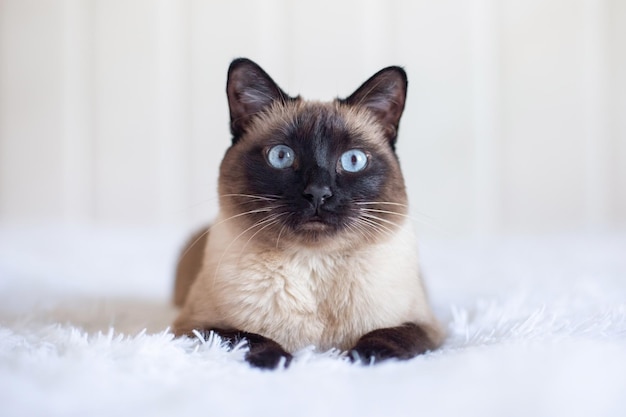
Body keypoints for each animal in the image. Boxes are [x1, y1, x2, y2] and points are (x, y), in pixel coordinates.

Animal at [173, 57, 442, 368]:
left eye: (353, 160)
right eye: (281, 156)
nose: (318, 193)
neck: (315, 264)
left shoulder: (429, 328)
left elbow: (390, 334)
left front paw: (363, 357)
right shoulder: (193, 327)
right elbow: (246, 338)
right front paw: (279, 362)